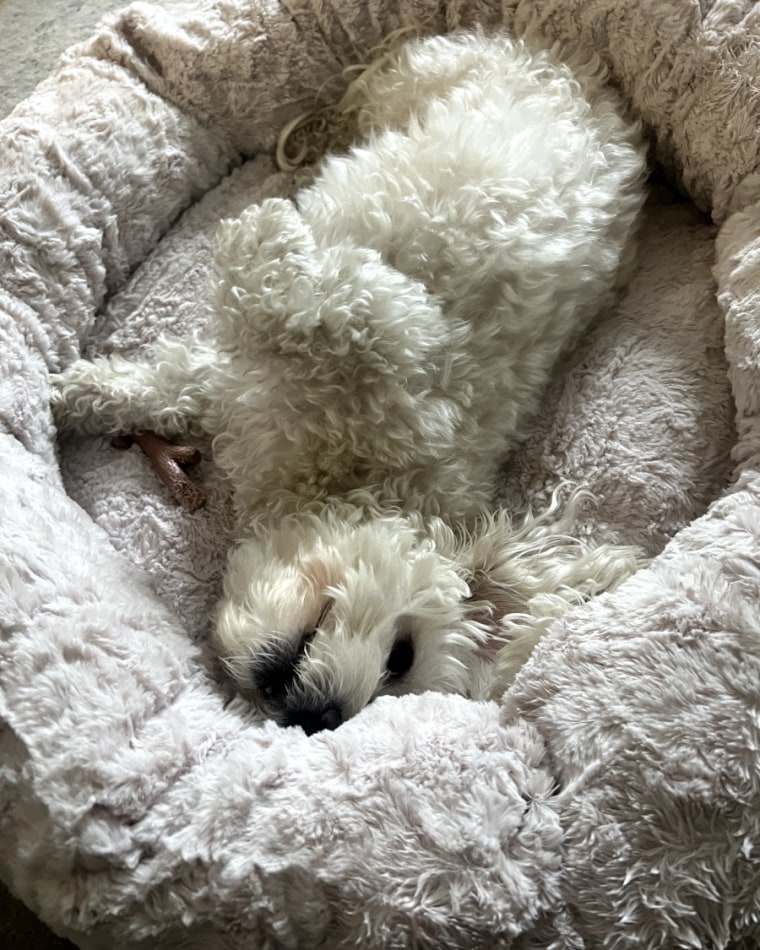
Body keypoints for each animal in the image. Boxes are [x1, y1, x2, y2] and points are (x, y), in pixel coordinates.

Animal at [52, 31, 648, 736]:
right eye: (401, 653)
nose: (320, 715)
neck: (343, 479)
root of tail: (575, 64)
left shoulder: (352, 345)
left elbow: (267, 322)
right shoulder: (387, 344)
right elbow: (277, 318)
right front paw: (80, 394)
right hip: (432, 77)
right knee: (365, 98)